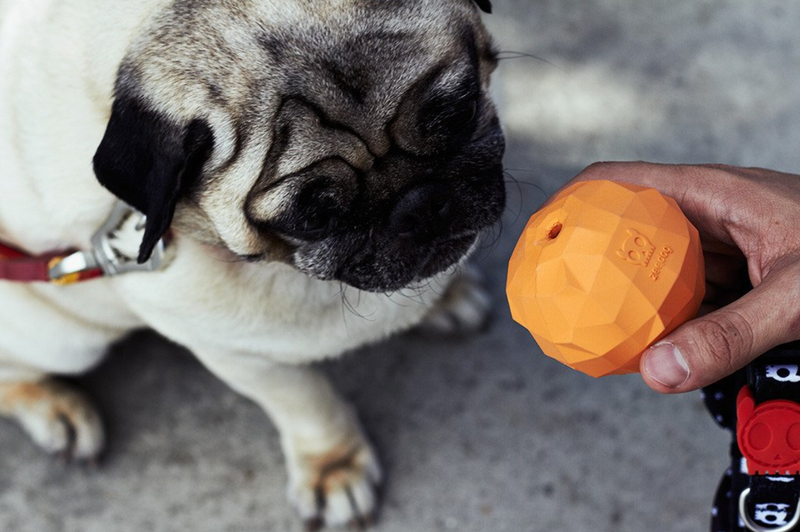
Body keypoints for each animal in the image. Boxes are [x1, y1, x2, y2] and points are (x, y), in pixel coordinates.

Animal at [0, 0, 504, 524]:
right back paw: (54, 408)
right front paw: (334, 467)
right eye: (314, 216)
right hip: (62, 341)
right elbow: (306, 402)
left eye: (460, 112)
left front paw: (450, 295)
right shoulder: (241, 355)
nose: (420, 205)